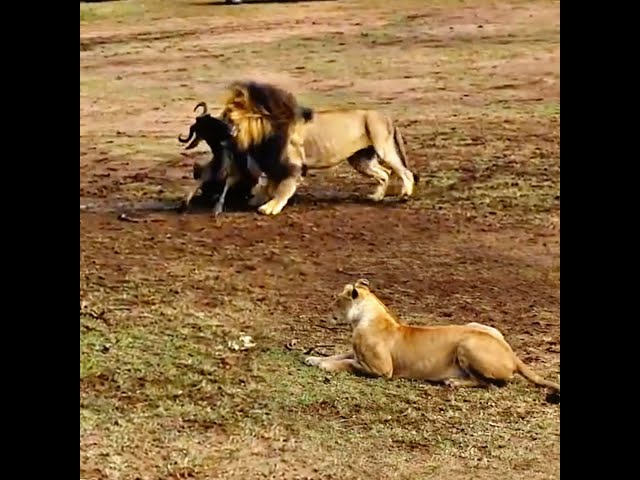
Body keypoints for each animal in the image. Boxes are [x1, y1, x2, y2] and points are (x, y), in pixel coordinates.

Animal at [304, 280, 560, 404]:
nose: (327, 313)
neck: (365, 317)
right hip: (478, 327)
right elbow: (340, 354)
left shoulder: (382, 370)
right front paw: (314, 358)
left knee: (490, 384)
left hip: (467, 344)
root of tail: (513, 355)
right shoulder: (357, 353)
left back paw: (453, 382)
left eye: (337, 300)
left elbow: (347, 364)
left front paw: (324, 365)